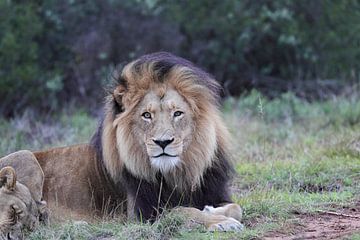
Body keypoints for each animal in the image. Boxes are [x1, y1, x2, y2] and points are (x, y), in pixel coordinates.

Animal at [3, 52, 245, 231]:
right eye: (146, 115)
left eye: (177, 113)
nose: (163, 142)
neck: (176, 173)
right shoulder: (142, 214)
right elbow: (183, 211)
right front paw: (222, 223)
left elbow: (236, 207)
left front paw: (213, 212)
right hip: (24, 155)